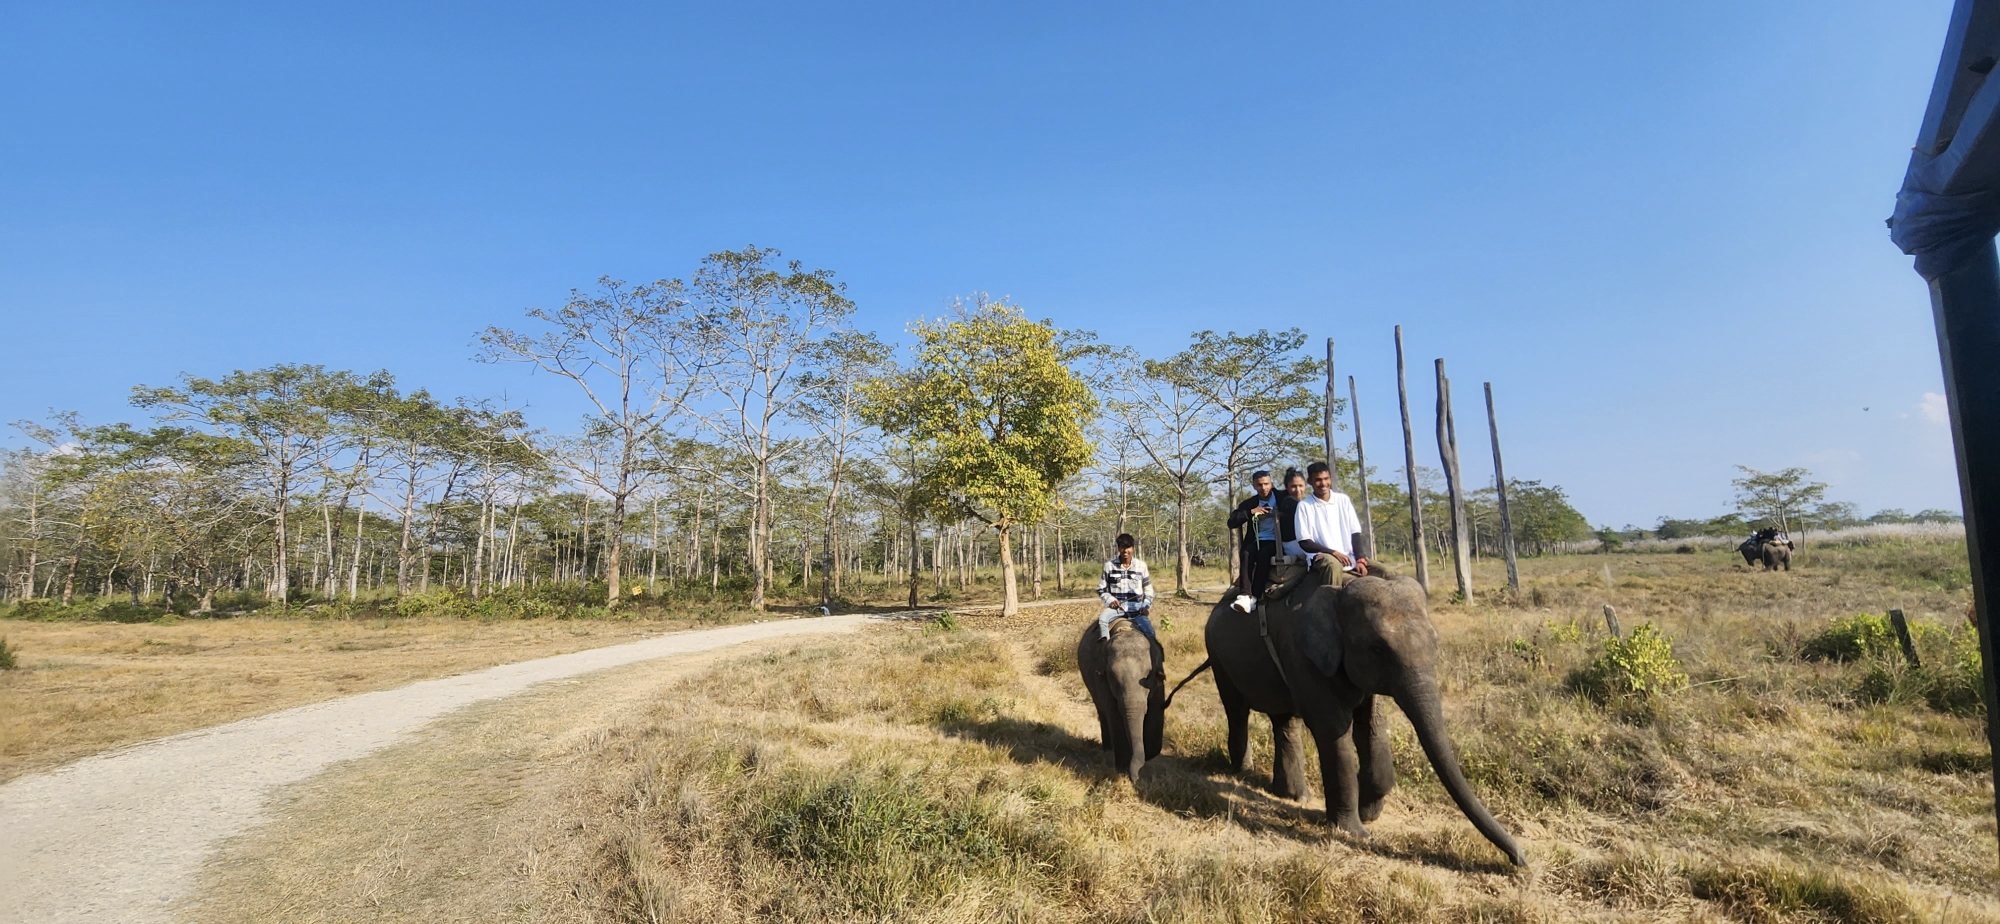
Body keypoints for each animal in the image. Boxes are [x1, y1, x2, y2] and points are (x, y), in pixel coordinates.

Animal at [1088, 616, 1168, 784]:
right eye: (1112, 677)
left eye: (1149, 674)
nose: (1135, 779)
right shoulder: (1102, 679)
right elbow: (1114, 715)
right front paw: (1122, 768)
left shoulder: (1158, 680)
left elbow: (1155, 712)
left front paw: (1150, 754)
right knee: (1102, 711)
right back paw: (1108, 750)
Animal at [1200, 572, 1528, 868]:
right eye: (1378, 648)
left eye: (1435, 642)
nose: (1519, 860)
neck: (1342, 588)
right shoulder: (1303, 653)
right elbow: (1334, 730)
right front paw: (1355, 833)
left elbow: (1371, 727)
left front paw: (1369, 810)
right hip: (1217, 655)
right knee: (1237, 711)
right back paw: (1243, 772)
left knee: (1284, 720)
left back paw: (1295, 796)